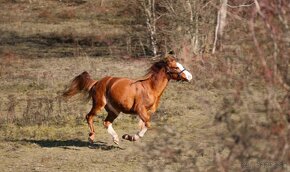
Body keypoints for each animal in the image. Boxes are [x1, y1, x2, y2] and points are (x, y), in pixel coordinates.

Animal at [62, 54, 191, 144]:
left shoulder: (147, 112)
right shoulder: (140, 110)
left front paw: (127, 136)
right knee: (89, 116)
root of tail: (96, 82)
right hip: (99, 104)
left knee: (106, 122)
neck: (150, 88)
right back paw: (91, 137)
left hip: (114, 110)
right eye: (176, 67)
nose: (190, 76)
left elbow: (145, 125)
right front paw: (131, 137)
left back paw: (116, 139)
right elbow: (148, 124)